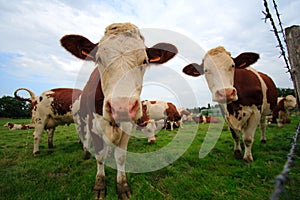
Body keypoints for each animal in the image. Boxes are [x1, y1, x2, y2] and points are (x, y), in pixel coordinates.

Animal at [60, 22, 177, 199]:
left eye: (144, 61)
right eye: (99, 58)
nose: (121, 107)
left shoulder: (127, 127)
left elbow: (121, 157)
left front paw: (122, 186)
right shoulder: (94, 125)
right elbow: (99, 155)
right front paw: (100, 184)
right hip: (82, 119)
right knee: (85, 136)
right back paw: (86, 151)